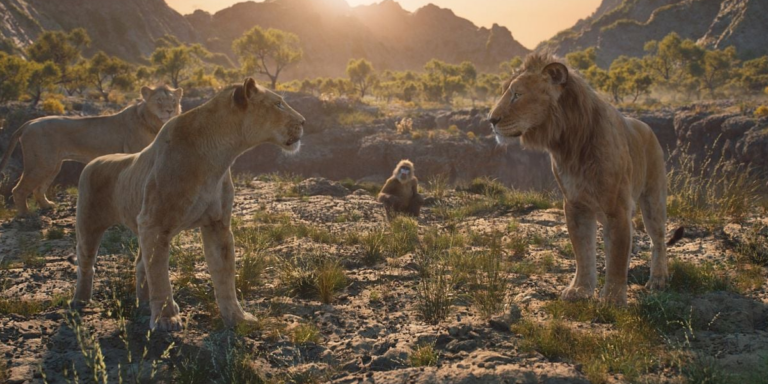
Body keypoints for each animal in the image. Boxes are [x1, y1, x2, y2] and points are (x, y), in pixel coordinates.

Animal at [0, 85, 182, 214]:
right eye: (159, 100)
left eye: (173, 101)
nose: (170, 110)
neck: (153, 122)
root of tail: (29, 123)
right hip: (41, 163)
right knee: (19, 190)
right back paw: (26, 216)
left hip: (52, 165)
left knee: (39, 189)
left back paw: (47, 205)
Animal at [73, 79, 304, 330]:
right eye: (278, 104)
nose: (303, 121)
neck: (218, 157)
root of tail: (93, 162)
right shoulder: (154, 223)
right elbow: (160, 275)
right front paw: (166, 319)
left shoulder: (217, 224)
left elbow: (224, 274)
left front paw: (237, 317)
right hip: (89, 223)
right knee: (87, 262)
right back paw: (80, 301)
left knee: (141, 264)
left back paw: (144, 303)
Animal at [488, 54, 676, 306]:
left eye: (517, 94)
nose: (491, 120)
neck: (568, 144)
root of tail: (646, 126)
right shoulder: (575, 205)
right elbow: (583, 252)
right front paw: (580, 290)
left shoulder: (616, 208)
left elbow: (617, 256)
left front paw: (612, 300)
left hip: (653, 198)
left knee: (659, 239)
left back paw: (658, 279)